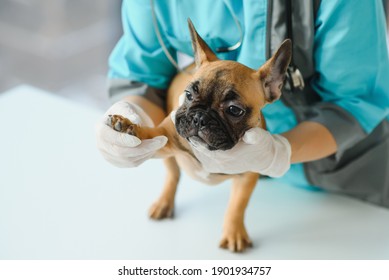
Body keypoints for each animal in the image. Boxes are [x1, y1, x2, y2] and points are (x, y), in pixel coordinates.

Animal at [107, 19, 290, 252]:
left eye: (234, 110)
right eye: (188, 95)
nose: (199, 118)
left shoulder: (247, 176)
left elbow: (237, 205)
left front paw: (233, 232)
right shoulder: (167, 137)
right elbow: (151, 134)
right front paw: (128, 127)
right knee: (172, 176)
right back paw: (164, 202)